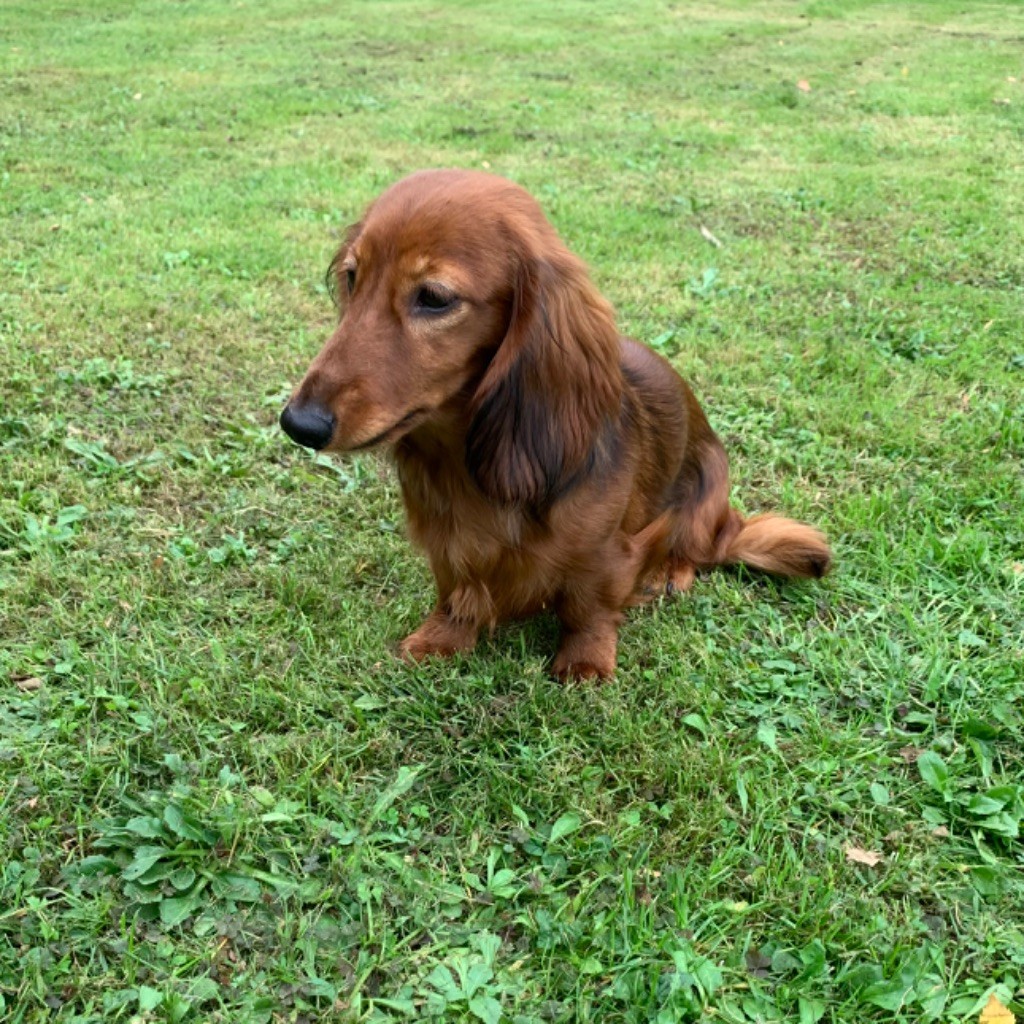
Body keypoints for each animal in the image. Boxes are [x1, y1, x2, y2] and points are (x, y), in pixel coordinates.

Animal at [282, 167, 831, 679]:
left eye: (434, 297)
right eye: (353, 276)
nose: (298, 423)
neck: (467, 462)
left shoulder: (607, 552)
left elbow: (589, 607)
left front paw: (585, 662)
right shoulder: (446, 542)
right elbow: (457, 591)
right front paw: (440, 638)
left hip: (707, 499)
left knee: (701, 547)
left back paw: (672, 570)